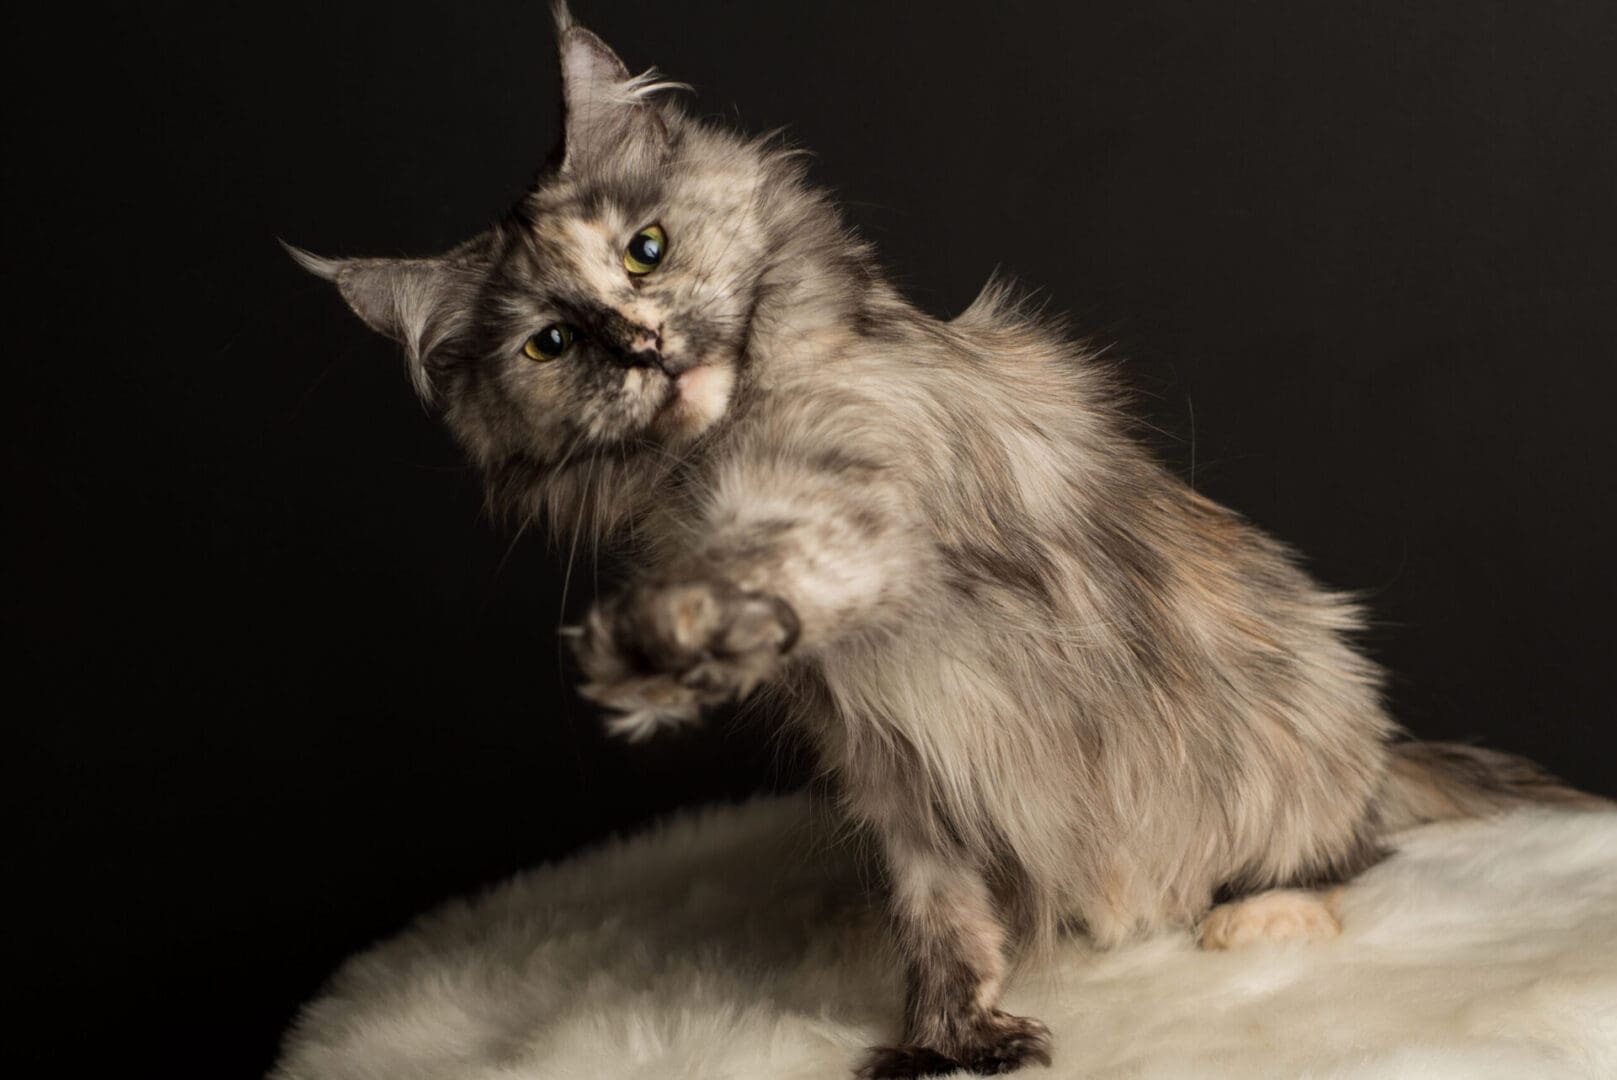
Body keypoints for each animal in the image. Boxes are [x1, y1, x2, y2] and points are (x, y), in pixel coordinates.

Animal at [294, 4, 1604, 1073]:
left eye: (645, 249)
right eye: (552, 345)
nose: (644, 346)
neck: (716, 456)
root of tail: (1382, 753)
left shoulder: (883, 512)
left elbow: (779, 561)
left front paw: (660, 649)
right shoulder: (895, 771)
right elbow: (942, 918)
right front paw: (952, 1038)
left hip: (1303, 715)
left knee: (1343, 856)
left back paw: (1257, 914)